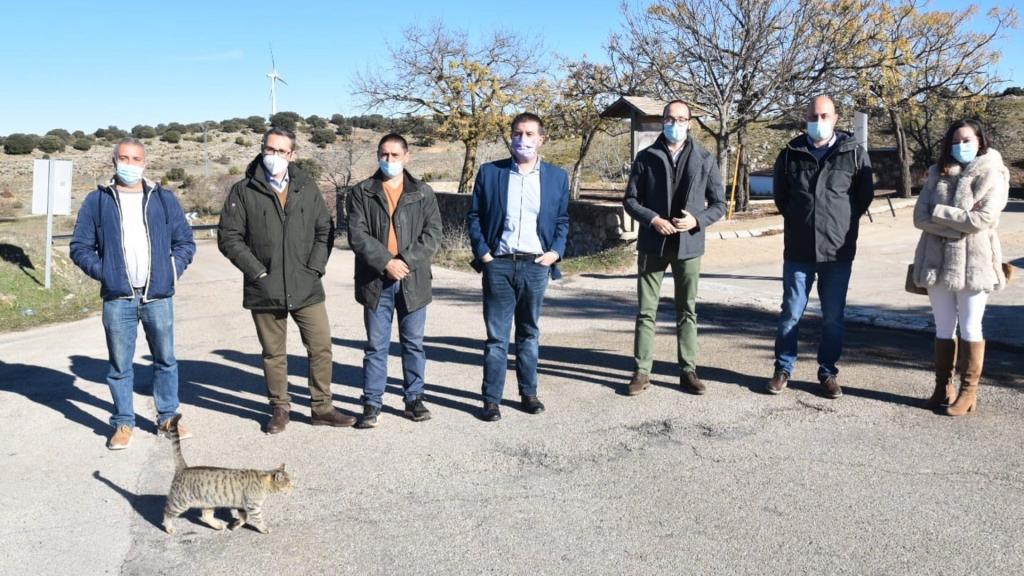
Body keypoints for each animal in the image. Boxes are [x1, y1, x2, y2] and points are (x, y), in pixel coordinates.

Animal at [162, 412, 292, 532]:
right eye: (289, 484)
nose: (294, 488)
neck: (263, 481)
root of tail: (184, 468)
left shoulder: (241, 505)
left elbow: (244, 518)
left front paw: (235, 525)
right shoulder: (252, 507)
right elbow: (258, 520)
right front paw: (264, 529)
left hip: (208, 502)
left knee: (206, 515)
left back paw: (218, 526)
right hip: (180, 502)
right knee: (167, 512)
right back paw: (169, 528)